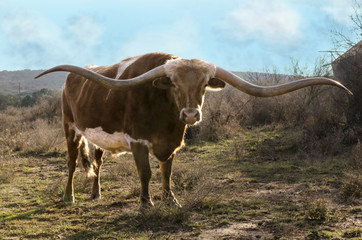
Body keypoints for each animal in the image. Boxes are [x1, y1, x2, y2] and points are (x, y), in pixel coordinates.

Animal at [35, 52, 352, 210]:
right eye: (173, 83)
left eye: (204, 84)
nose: (190, 114)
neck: (166, 114)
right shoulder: (138, 141)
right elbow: (146, 173)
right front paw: (146, 203)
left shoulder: (172, 144)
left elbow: (167, 172)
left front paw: (171, 200)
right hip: (70, 127)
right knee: (71, 163)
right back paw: (69, 197)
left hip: (98, 138)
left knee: (98, 163)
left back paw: (96, 194)